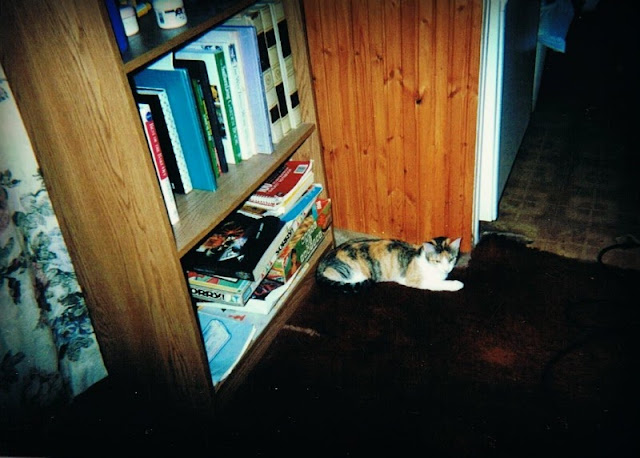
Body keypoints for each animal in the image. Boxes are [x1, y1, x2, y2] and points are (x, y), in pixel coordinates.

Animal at [316, 236, 464, 293]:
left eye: (451, 259)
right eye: (437, 261)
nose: (446, 269)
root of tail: (322, 261)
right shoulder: (415, 280)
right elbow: (437, 284)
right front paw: (456, 284)